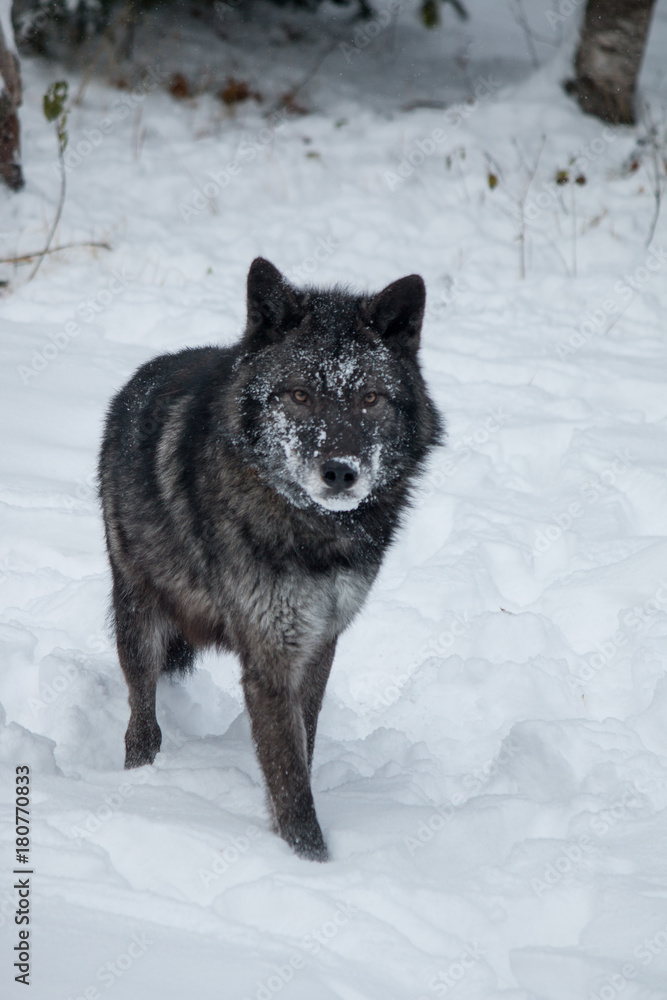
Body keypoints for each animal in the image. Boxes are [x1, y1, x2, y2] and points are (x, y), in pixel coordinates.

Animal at [98, 257, 442, 861]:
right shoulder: (271, 651)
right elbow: (287, 774)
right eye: (300, 395)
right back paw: (142, 783)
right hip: (139, 620)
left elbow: (303, 746)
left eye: (370, 398)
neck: (317, 535)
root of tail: (139, 377)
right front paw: (311, 862)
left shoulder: (320, 640)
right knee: (142, 722)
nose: (341, 472)